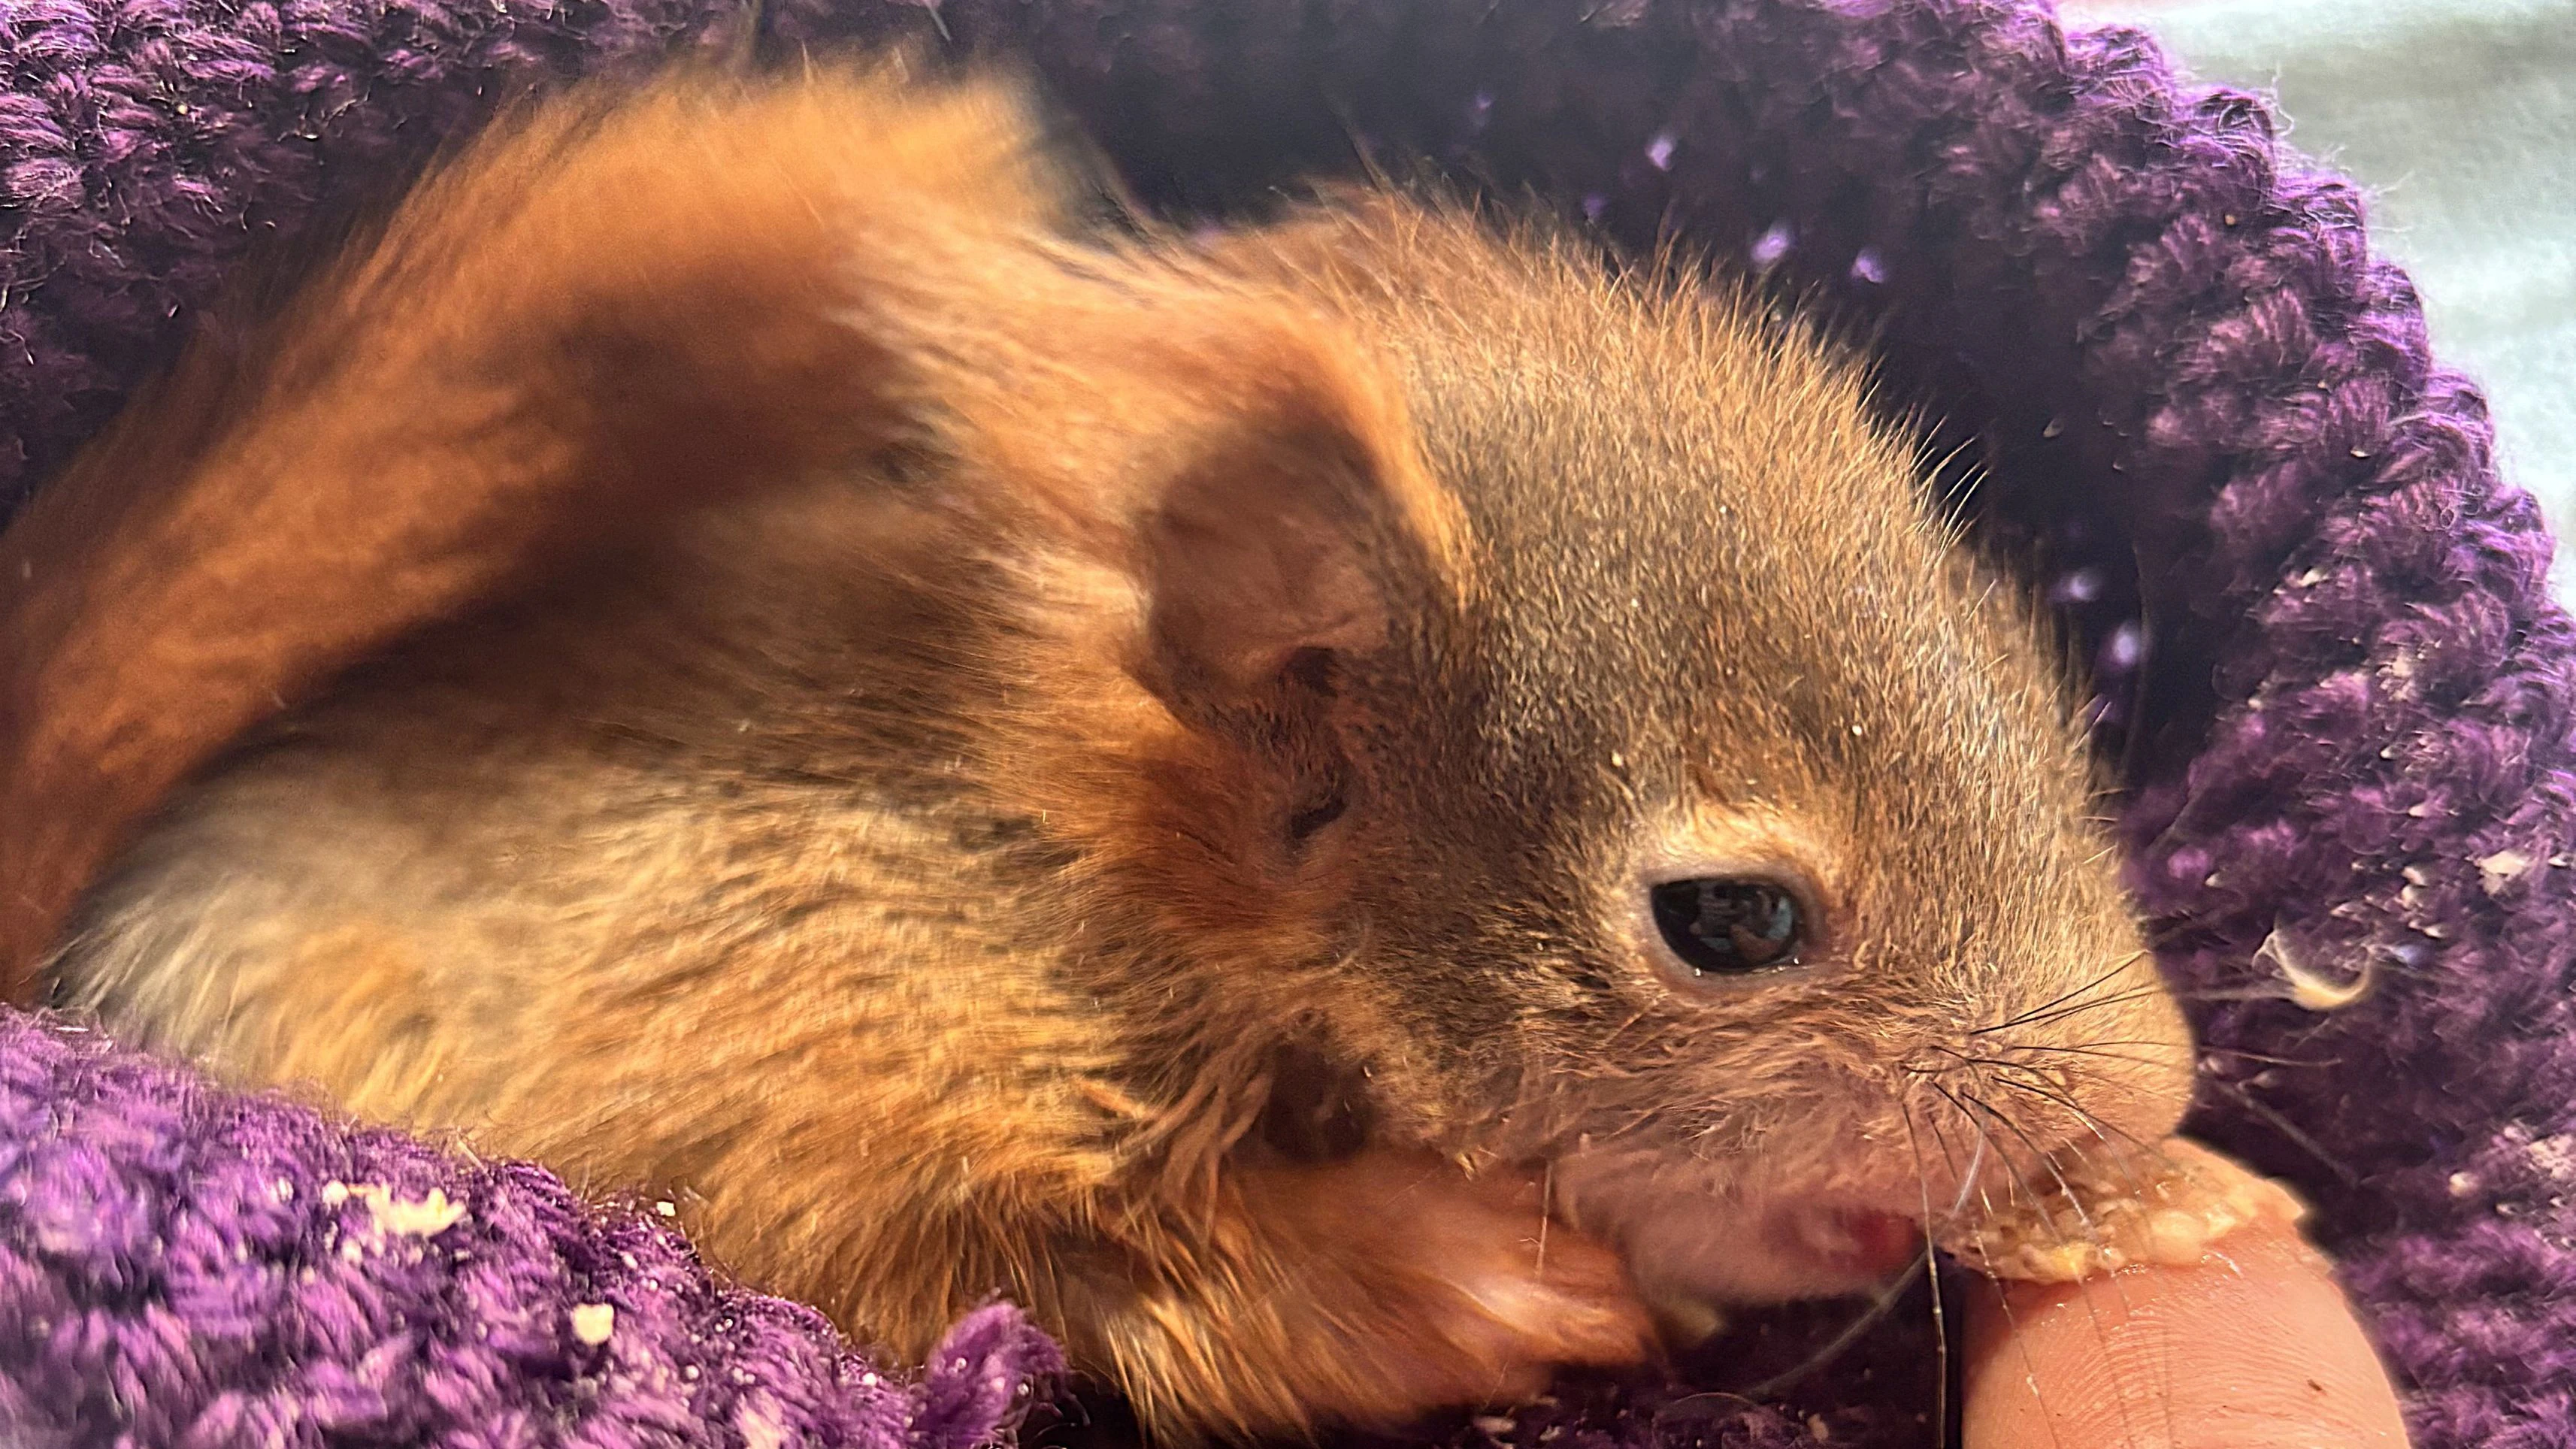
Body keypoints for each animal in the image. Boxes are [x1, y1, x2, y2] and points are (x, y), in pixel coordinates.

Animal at [1, 62, 2197, 1442]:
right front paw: (1470, 1279)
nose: (2151, 1095)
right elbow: (1044, 1266)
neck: (1096, 877)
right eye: (1729, 920)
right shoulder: (799, 1002)